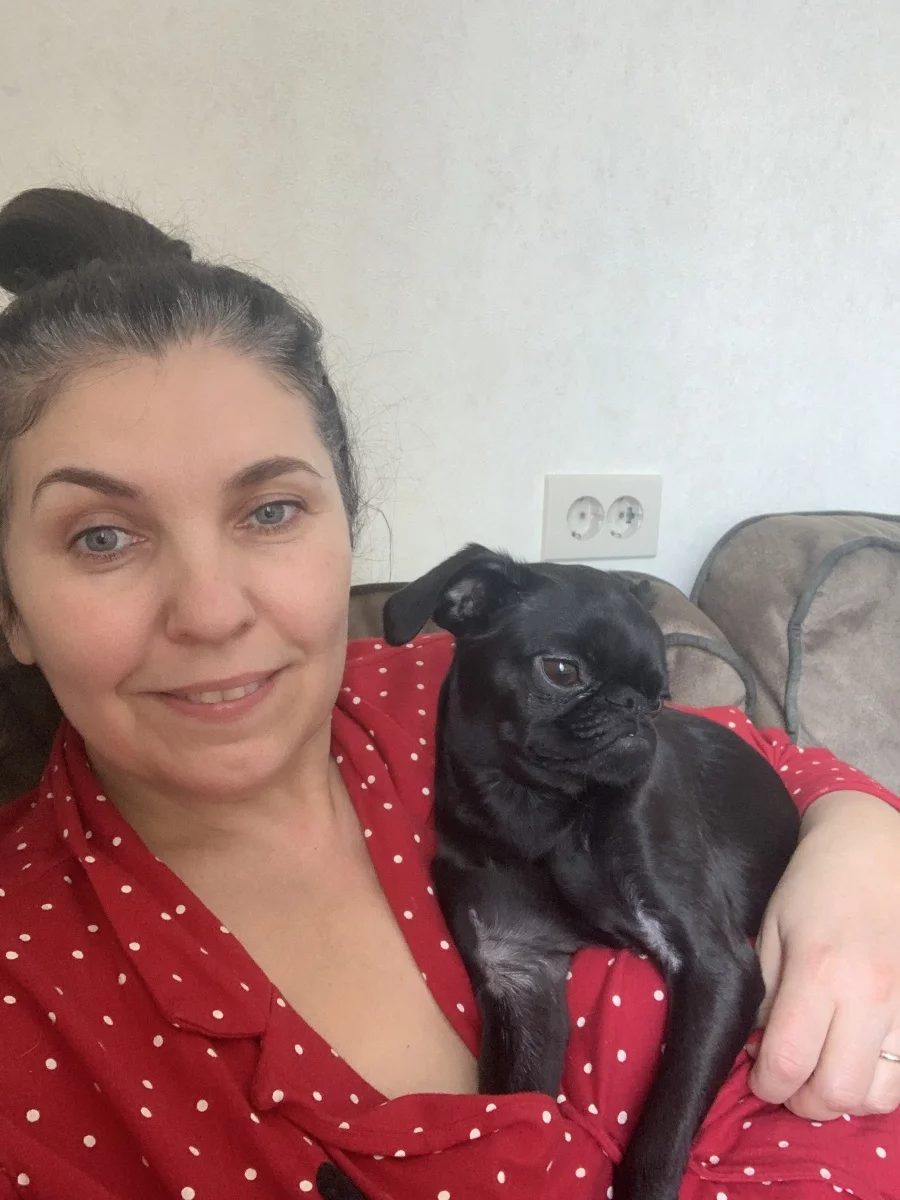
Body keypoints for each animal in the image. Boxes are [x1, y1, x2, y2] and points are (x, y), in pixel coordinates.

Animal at [383, 544, 800, 1200]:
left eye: (661, 697)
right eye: (562, 672)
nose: (635, 710)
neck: (540, 818)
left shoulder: (717, 965)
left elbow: (666, 1120)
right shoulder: (518, 974)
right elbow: (514, 1111)